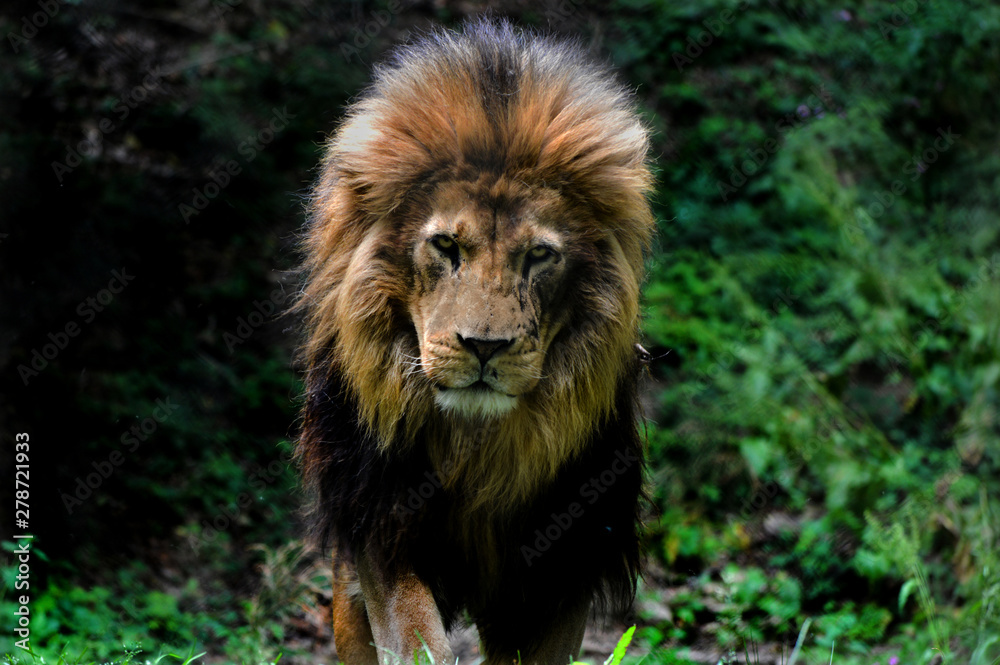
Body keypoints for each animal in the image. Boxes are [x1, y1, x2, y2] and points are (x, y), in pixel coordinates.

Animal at [294, 18, 654, 665]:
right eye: (446, 246)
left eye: (538, 255)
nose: (484, 347)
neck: (478, 445)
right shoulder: (380, 524)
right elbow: (418, 639)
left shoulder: (562, 563)